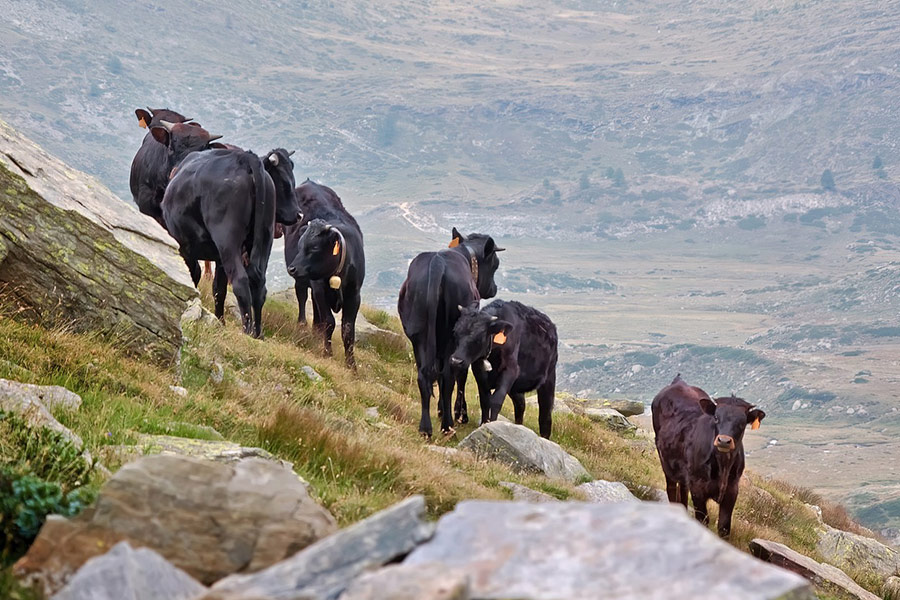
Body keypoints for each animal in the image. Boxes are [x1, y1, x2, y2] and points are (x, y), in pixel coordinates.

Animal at [161, 147, 301, 337]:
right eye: (285, 182)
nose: (299, 214)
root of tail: (245, 158)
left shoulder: (184, 246)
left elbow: (193, 275)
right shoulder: (218, 258)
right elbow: (218, 288)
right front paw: (219, 322)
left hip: (227, 239)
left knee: (240, 281)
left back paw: (247, 330)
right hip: (265, 238)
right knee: (258, 284)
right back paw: (257, 333)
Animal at [285, 183, 365, 368]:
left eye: (314, 247)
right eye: (300, 245)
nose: (292, 268)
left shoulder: (354, 295)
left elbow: (348, 330)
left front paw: (351, 365)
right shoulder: (320, 288)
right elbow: (329, 322)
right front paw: (327, 353)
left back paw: (315, 331)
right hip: (303, 281)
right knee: (301, 296)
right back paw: (302, 325)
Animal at [398, 228, 503, 438]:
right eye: (495, 264)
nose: (494, 288)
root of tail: (437, 263)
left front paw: (440, 410)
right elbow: (460, 377)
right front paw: (460, 414)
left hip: (418, 336)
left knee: (425, 375)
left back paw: (425, 428)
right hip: (449, 339)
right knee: (448, 377)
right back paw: (447, 426)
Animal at [448, 300, 558, 439]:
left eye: (479, 338)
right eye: (455, 332)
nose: (456, 361)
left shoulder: (510, 370)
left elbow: (496, 400)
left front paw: (492, 426)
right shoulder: (479, 371)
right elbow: (485, 400)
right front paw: (483, 425)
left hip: (549, 377)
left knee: (545, 413)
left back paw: (544, 437)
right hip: (515, 388)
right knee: (520, 405)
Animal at [651, 374, 766, 538]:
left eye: (743, 422)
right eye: (716, 418)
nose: (724, 440)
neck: (723, 465)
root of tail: (679, 382)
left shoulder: (732, 490)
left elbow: (724, 528)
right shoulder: (698, 487)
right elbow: (703, 520)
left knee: (682, 489)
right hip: (665, 460)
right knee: (671, 487)